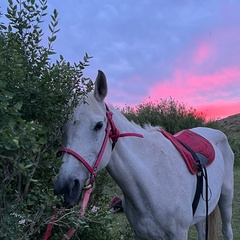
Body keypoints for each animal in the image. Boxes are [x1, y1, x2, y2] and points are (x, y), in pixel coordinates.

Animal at [53, 70, 233, 239]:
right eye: (62, 128)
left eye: (98, 125)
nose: (64, 189)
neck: (153, 182)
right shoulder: (141, 234)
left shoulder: (179, 234)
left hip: (226, 198)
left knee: (227, 230)